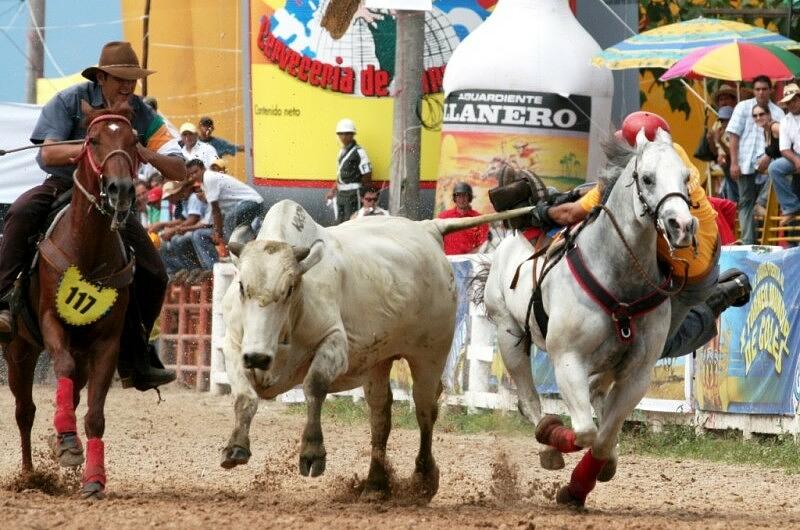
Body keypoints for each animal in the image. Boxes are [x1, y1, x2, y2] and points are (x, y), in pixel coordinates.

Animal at [5, 100, 139, 500]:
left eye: (134, 141)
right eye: (92, 140)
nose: (120, 189)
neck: (89, 248)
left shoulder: (107, 342)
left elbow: (95, 415)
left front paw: (93, 477)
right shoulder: (51, 322)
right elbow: (60, 367)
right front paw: (65, 443)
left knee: (73, 396)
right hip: (18, 348)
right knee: (24, 410)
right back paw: (29, 474)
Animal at [219, 198, 532, 500]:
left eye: (289, 288)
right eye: (242, 286)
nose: (258, 357)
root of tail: (427, 229)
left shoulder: (335, 345)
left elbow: (314, 386)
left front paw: (312, 452)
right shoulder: (234, 346)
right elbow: (244, 396)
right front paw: (235, 447)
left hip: (430, 354)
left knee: (424, 410)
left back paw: (423, 480)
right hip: (377, 363)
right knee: (380, 415)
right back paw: (375, 484)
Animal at [478, 129, 696, 508]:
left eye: (686, 177)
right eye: (647, 178)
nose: (681, 225)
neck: (620, 279)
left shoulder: (637, 375)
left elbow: (604, 438)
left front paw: (582, 483)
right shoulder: (568, 360)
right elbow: (584, 431)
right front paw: (559, 445)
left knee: (596, 400)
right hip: (509, 334)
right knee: (529, 400)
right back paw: (547, 442)